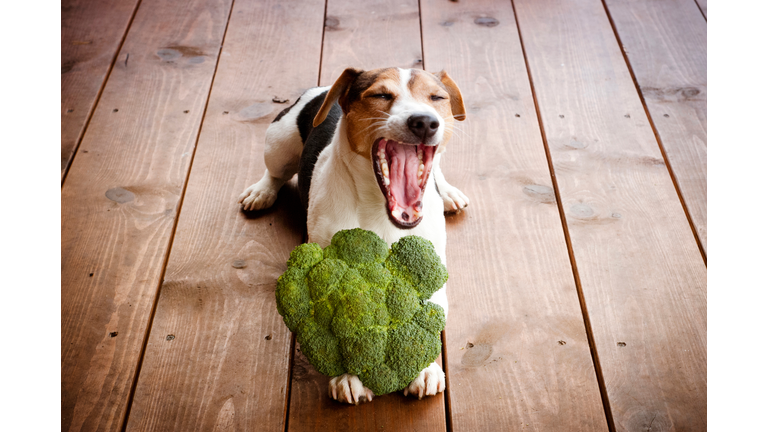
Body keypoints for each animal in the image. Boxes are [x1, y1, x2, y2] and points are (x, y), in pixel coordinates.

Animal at [238, 67, 468, 404]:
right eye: (381, 95)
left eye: (437, 97)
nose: (425, 121)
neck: (379, 211)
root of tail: (322, 90)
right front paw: (349, 376)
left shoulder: (432, 268)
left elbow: (428, 311)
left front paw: (424, 369)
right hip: (278, 144)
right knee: (275, 173)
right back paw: (262, 191)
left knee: (438, 168)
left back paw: (448, 191)